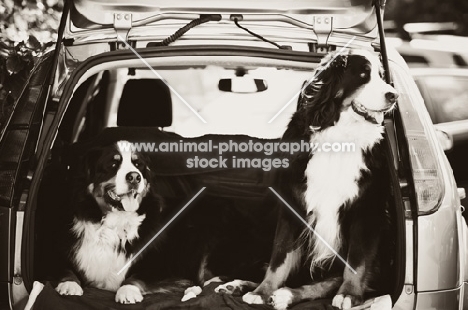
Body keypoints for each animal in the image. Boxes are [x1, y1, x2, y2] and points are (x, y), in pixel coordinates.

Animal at [55, 142, 186, 304]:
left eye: (138, 164)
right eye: (113, 164)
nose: (135, 177)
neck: (116, 223)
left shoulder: (162, 268)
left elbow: (136, 276)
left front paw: (128, 291)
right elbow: (65, 269)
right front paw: (69, 284)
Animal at [218, 49, 396, 308]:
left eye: (382, 77)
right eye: (364, 75)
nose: (394, 95)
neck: (341, 138)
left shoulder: (367, 209)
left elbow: (357, 261)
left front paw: (349, 294)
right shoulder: (293, 205)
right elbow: (279, 259)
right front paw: (262, 291)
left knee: (327, 282)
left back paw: (286, 294)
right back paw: (241, 285)